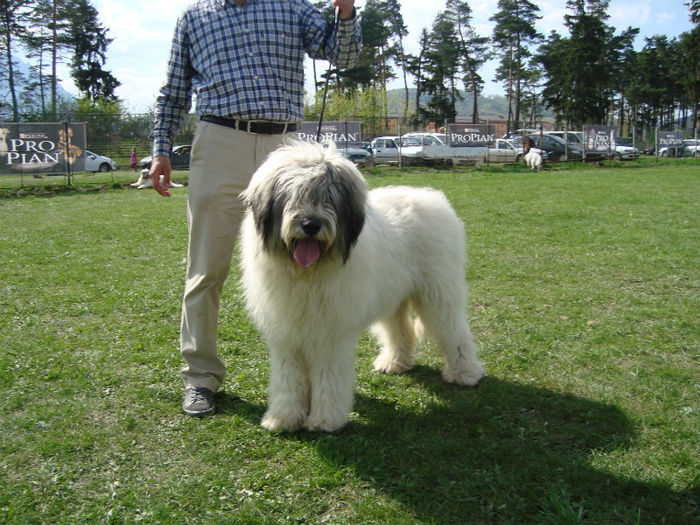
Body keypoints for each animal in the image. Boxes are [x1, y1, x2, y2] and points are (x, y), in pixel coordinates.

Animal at [238, 140, 484, 430]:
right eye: (293, 194)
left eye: (330, 196)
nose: (311, 225)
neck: (306, 274)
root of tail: (431, 198)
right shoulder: (286, 335)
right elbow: (288, 378)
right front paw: (283, 418)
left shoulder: (329, 333)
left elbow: (328, 376)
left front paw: (324, 419)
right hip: (393, 295)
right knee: (400, 330)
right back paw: (395, 362)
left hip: (438, 292)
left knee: (454, 333)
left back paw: (465, 373)